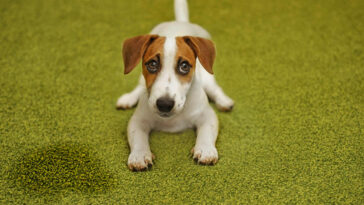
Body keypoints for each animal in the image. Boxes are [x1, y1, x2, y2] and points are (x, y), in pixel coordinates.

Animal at [118, 0, 235, 171]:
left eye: (184, 66)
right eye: (152, 64)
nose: (164, 104)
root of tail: (180, 22)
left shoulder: (207, 116)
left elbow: (206, 132)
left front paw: (205, 149)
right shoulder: (138, 120)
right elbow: (138, 137)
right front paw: (139, 154)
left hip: (208, 77)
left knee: (214, 89)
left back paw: (224, 101)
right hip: (141, 80)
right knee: (139, 88)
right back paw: (127, 98)